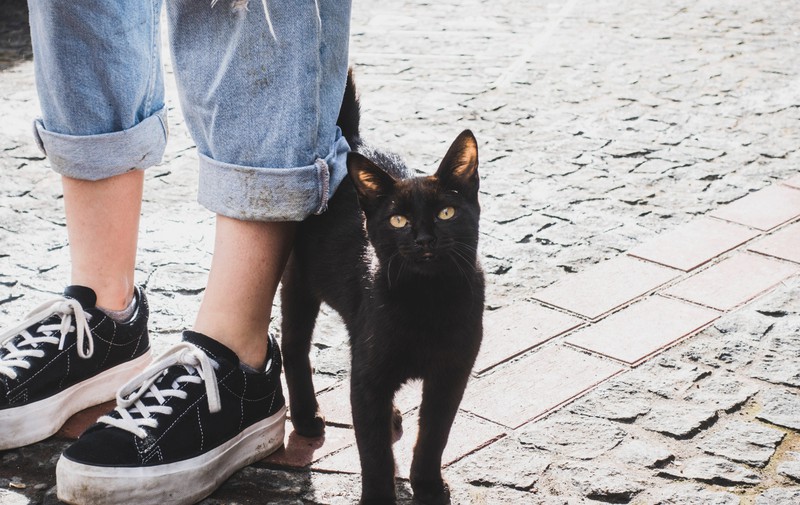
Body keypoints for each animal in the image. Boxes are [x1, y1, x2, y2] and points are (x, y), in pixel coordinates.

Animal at [282, 71, 482, 504]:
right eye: (398, 221)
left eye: (446, 212)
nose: (424, 240)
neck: (426, 299)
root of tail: (351, 140)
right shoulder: (369, 379)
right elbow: (373, 452)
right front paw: (378, 496)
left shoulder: (451, 373)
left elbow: (433, 437)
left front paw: (428, 486)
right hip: (299, 281)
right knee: (292, 344)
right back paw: (306, 418)